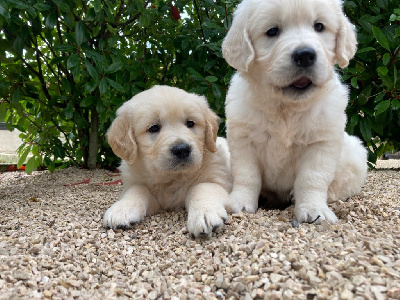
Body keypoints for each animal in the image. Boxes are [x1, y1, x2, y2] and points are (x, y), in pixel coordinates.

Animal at [103, 85, 231, 237]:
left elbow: (201, 188)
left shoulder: (218, 181)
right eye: (153, 128)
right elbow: (137, 189)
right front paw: (122, 209)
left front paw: (204, 214)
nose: (182, 149)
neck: (173, 178)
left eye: (190, 123)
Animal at [222, 0, 368, 223]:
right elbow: (246, 175)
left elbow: (312, 178)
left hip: (355, 154)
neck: (286, 108)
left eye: (319, 26)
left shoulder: (321, 143)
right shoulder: (243, 139)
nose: (305, 55)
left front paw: (314, 209)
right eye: (272, 31)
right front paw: (241, 203)